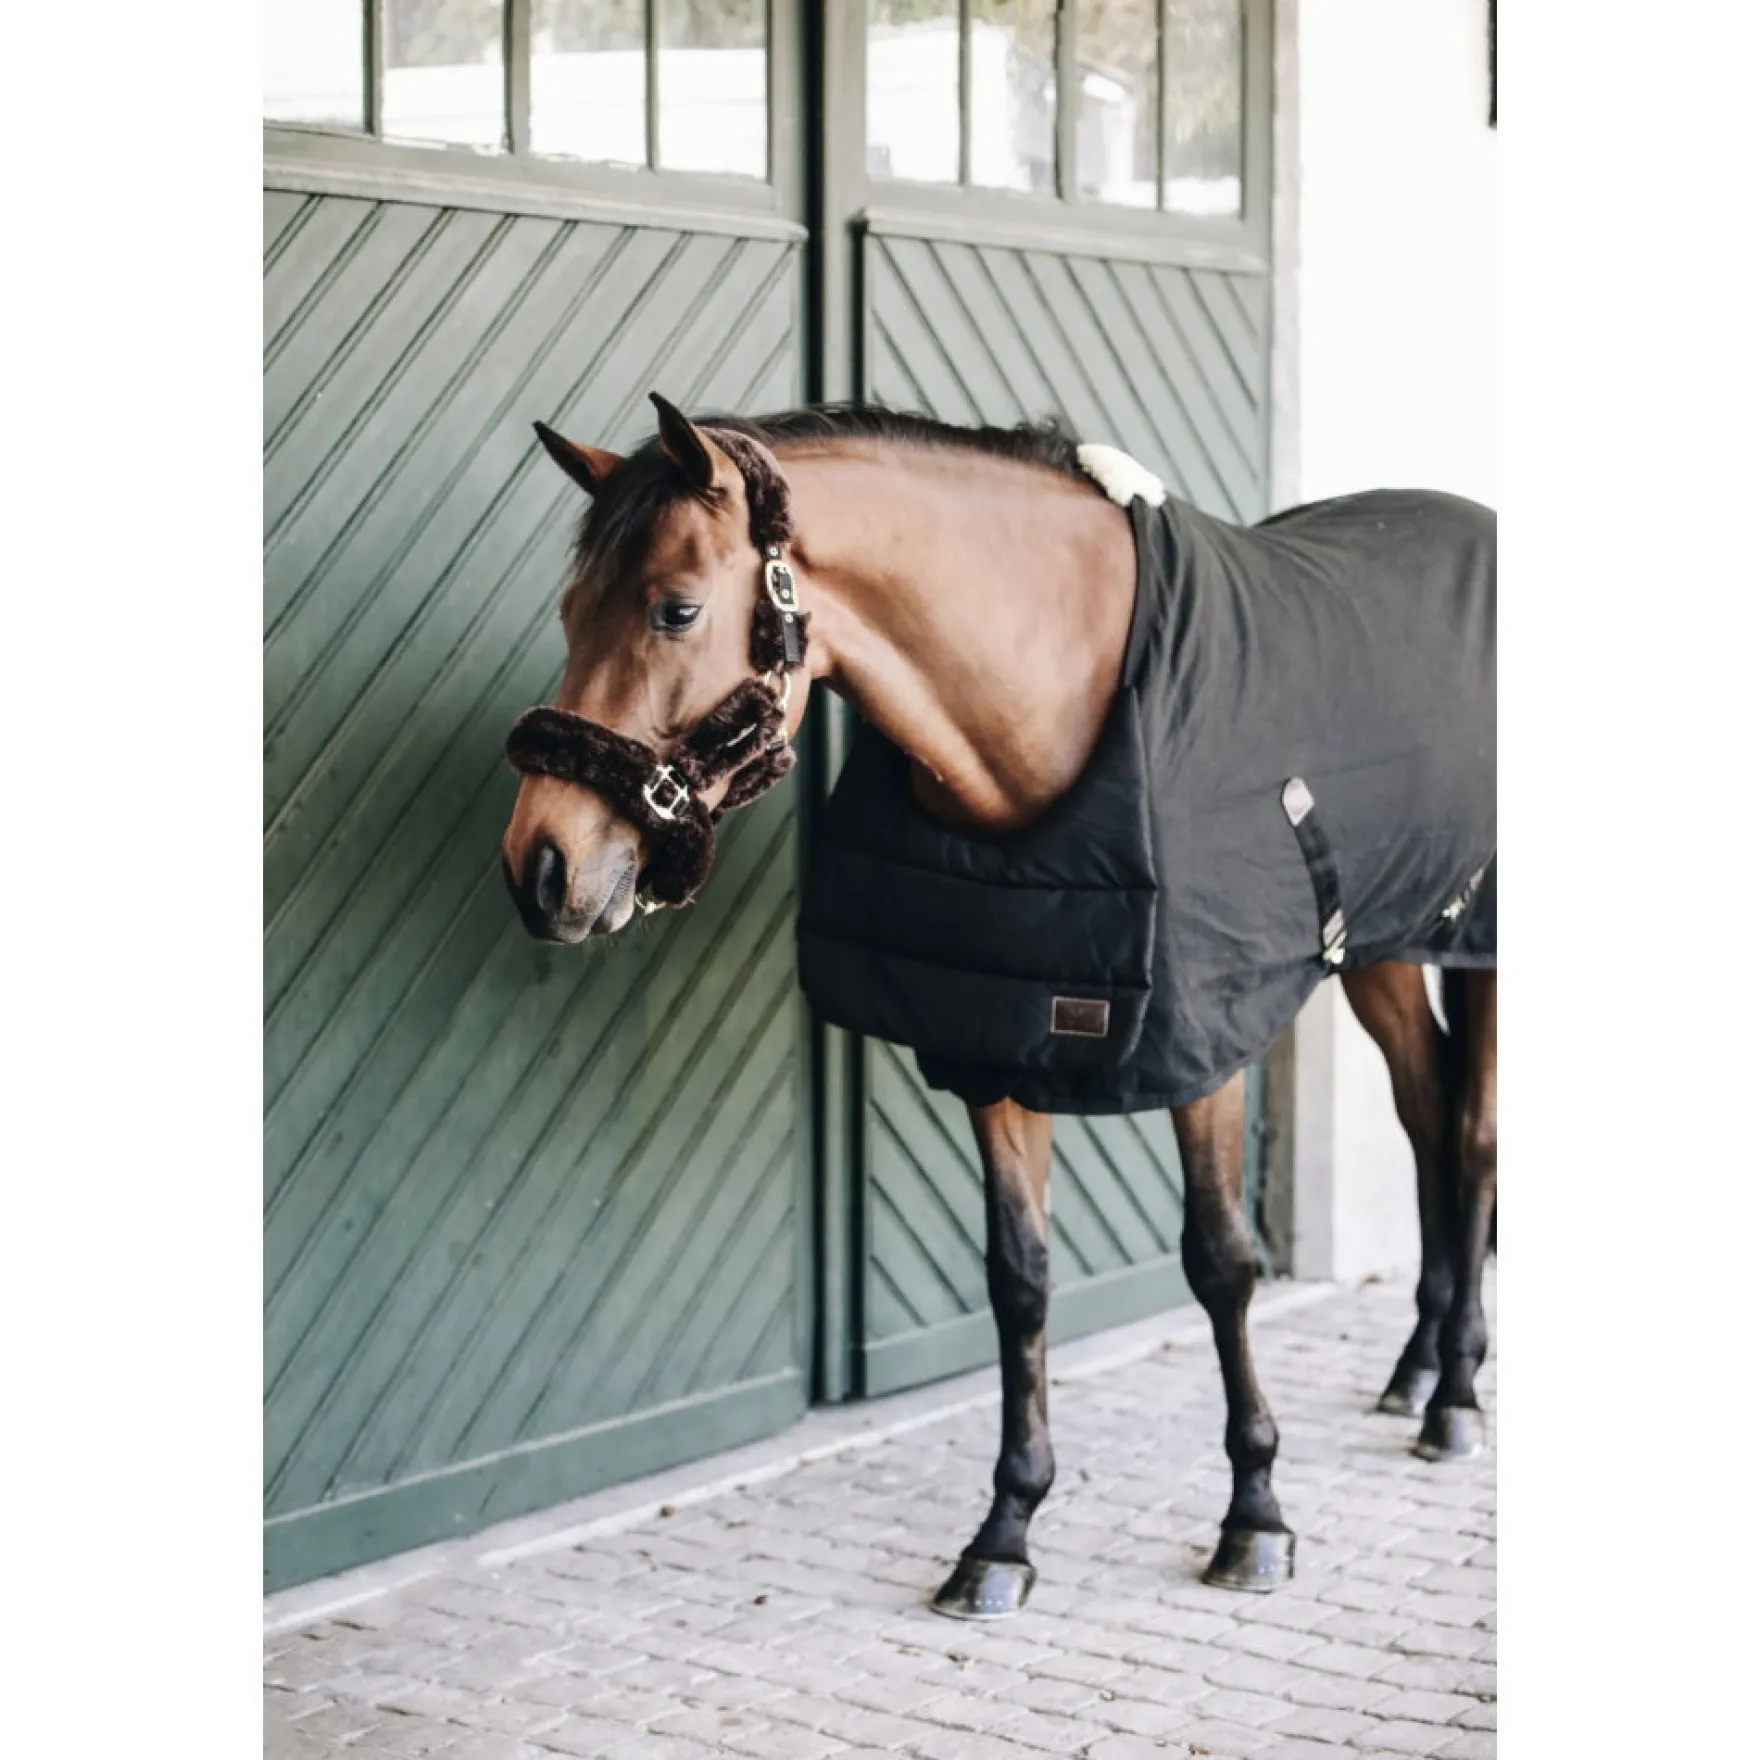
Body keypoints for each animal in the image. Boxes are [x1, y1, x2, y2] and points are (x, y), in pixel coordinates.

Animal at [499, 394, 1496, 1616]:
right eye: (568, 608)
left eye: (673, 607)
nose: (541, 868)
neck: (1061, 703)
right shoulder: (995, 1040)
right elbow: (1017, 1280)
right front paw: (1005, 1530)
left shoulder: (1201, 1051)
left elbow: (1220, 1264)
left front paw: (1255, 1512)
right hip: (1382, 948)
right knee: (1426, 1115)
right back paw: (1416, 1369)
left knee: (1471, 1133)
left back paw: (1455, 1394)